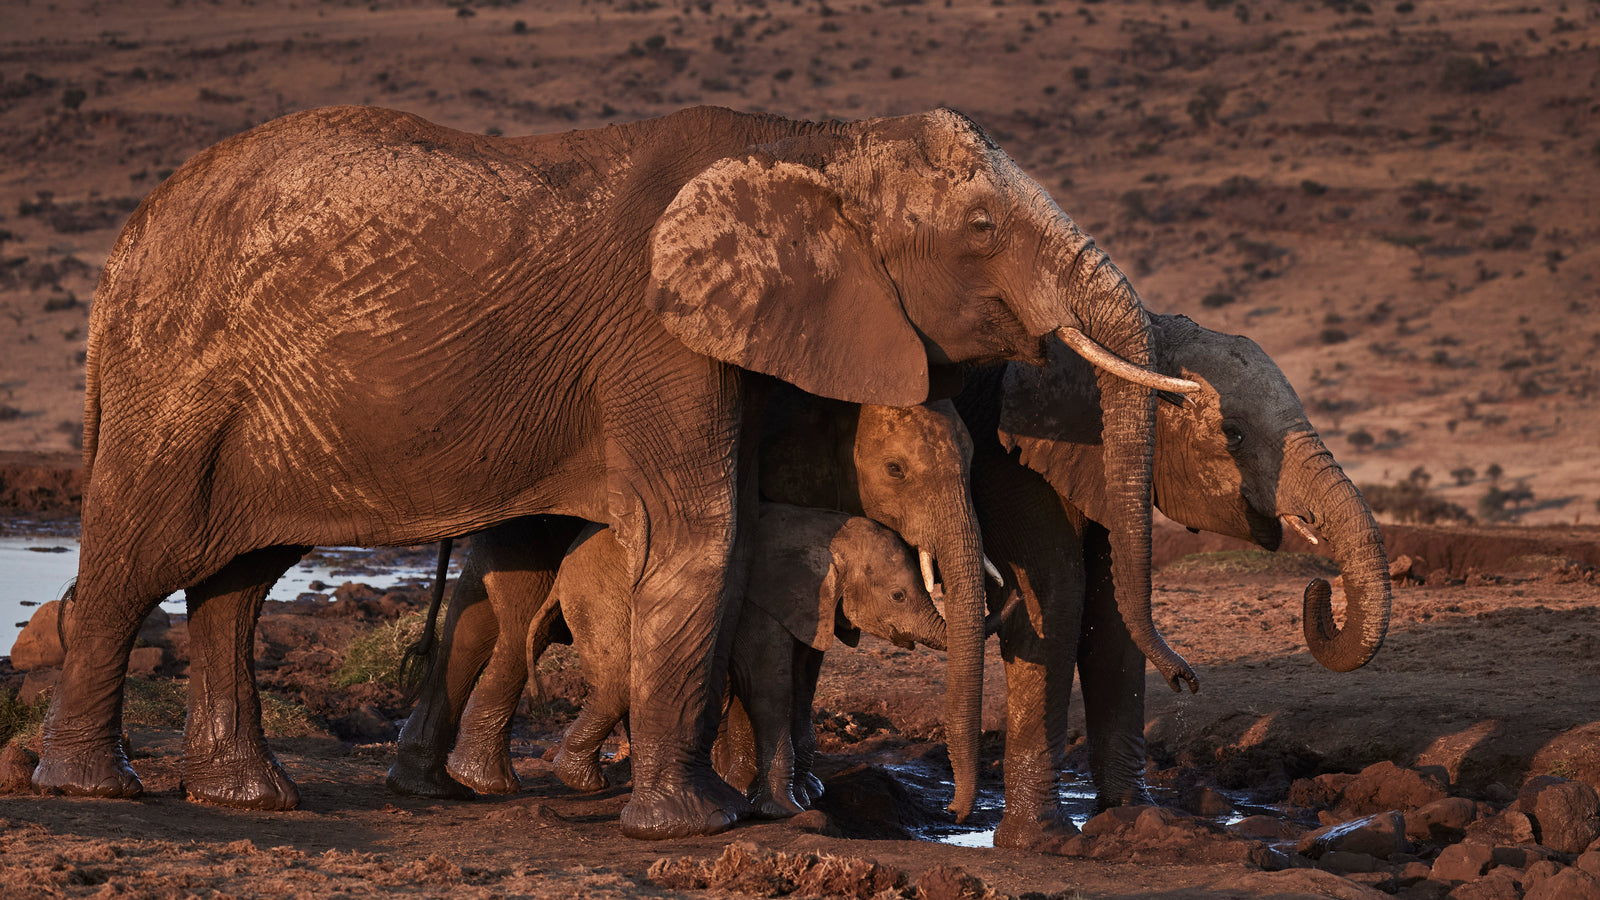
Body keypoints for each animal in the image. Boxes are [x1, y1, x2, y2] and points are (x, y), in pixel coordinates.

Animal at [388, 394, 996, 815]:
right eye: (897, 470)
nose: (953, 812)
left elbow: (799, 671)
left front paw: (790, 794)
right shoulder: (767, 597)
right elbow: (768, 680)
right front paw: (778, 806)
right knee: (580, 655)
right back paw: (539, 782)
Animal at [958, 313, 1392, 851]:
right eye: (1233, 433)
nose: (1186, 680)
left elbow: (1110, 611)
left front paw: (1131, 814)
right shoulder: (1004, 459)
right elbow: (1056, 596)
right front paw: (1040, 842)